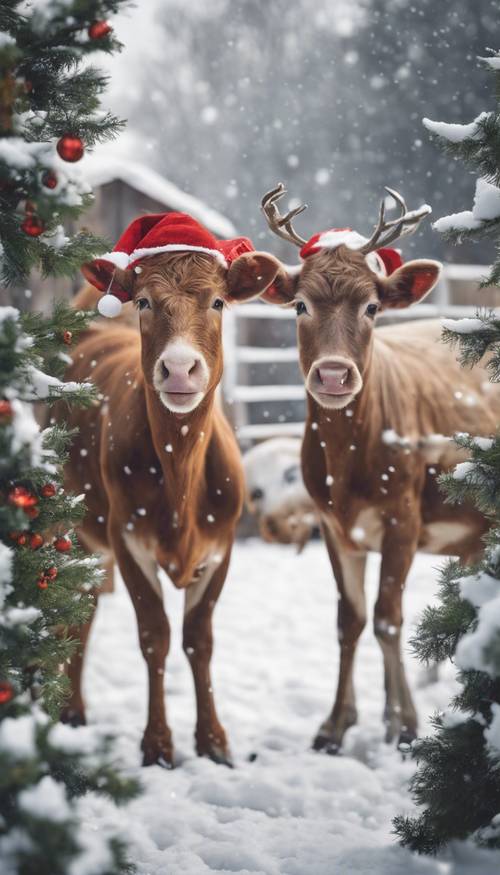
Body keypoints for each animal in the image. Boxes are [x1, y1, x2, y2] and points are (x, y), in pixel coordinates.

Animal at [60, 212, 284, 768]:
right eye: (144, 301)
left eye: (218, 301)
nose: (180, 367)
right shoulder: (127, 539)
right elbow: (154, 635)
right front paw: (158, 743)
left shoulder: (221, 546)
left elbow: (198, 638)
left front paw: (214, 742)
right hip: (71, 523)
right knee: (76, 606)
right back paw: (70, 709)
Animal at [250, 185, 500, 752]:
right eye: (300, 304)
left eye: (371, 306)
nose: (334, 374)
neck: (347, 476)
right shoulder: (332, 524)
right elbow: (350, 620)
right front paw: (335, 725)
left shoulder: (403, 514)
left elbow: (389, 619)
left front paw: (404, 725)